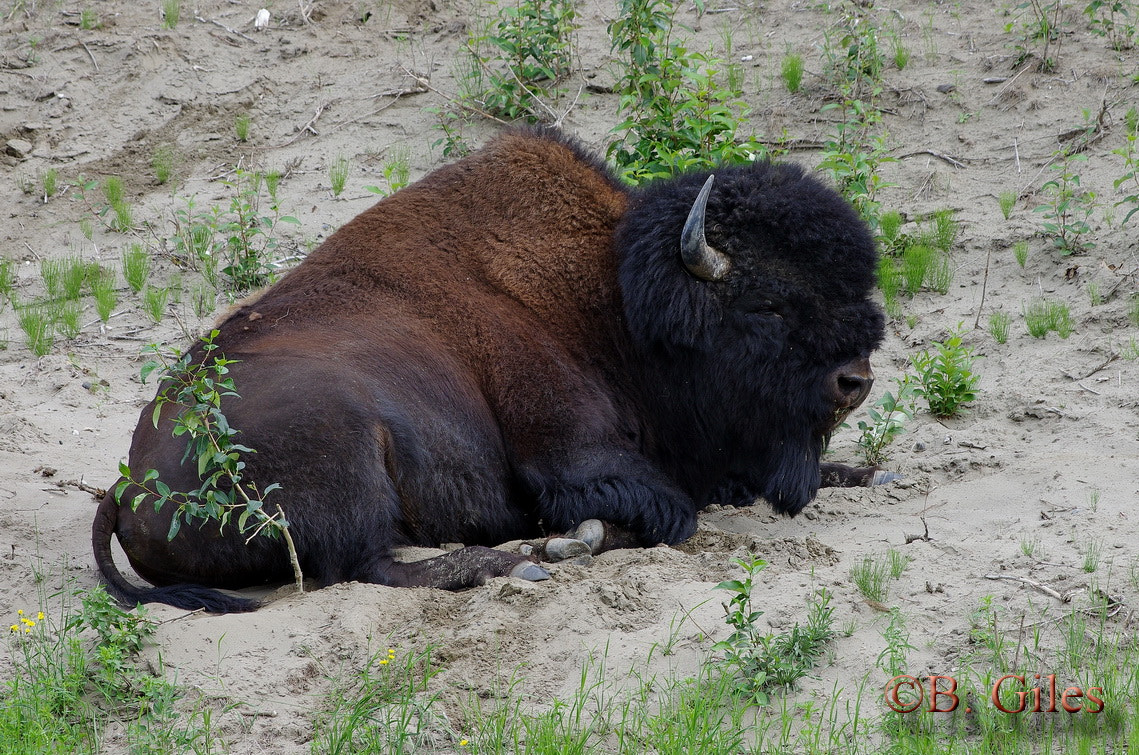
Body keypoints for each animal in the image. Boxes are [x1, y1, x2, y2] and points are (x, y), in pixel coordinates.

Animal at [91, 128, 888, 614]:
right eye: (769, 305)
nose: (856, 380)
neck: (614, 300)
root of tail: (125, 487)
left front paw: (871, 470)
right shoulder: (577, 457)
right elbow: (668, 510)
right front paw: (574, 538)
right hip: (342, 448)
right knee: (370, 565)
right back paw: (524, 560)